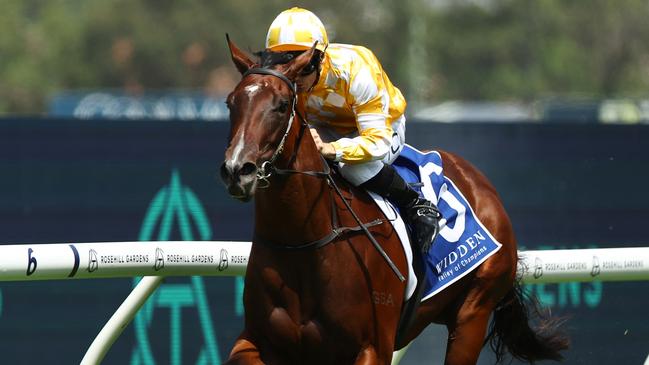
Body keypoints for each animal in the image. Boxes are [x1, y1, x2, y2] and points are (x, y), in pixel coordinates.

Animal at [219, 37, 568, 364]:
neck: (303, 243)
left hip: (473, 311)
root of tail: (481, 184)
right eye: (230, 102)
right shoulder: (257, 341)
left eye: (280, 105)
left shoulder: (372, 347)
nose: (238, 169)